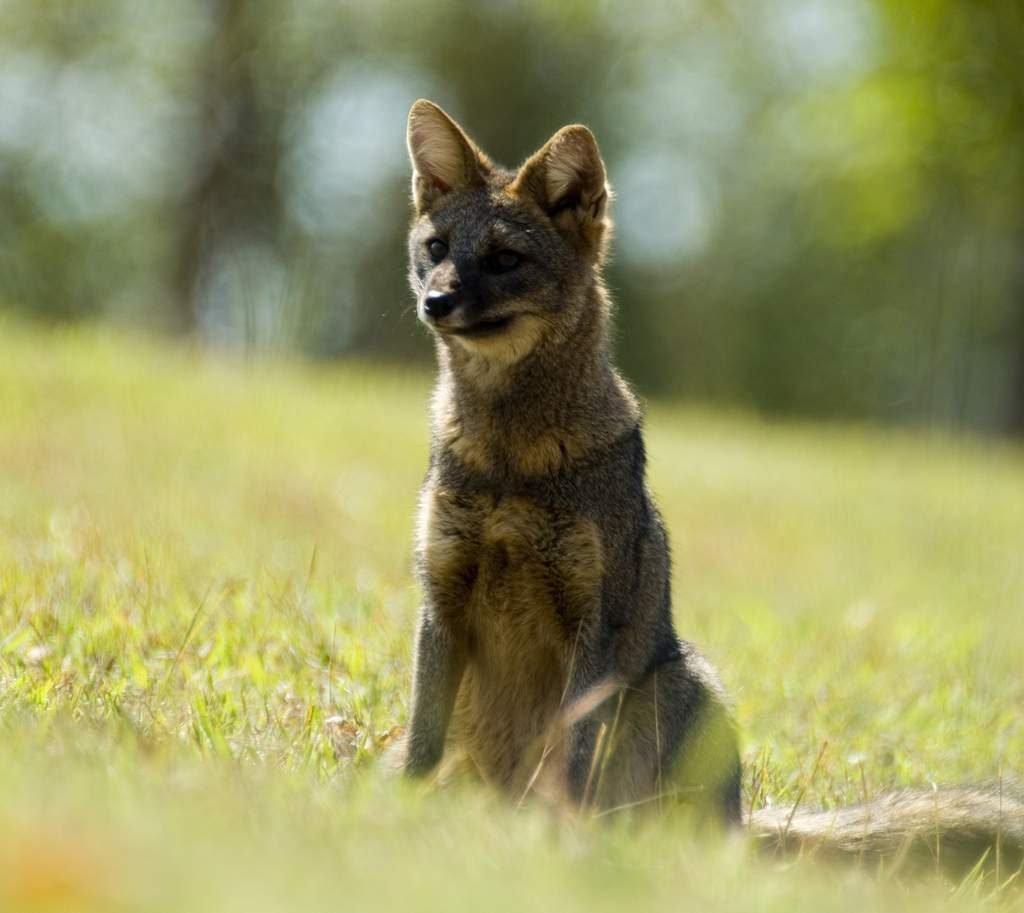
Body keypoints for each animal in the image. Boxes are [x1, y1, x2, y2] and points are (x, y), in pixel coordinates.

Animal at [399, 98, 1024, 876]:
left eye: (505, 259)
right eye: (436, 246)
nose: (435, 301)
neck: (513, 461)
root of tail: (739, 823)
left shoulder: (594, 625)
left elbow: (571, 763)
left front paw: (551, 847)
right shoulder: (441, 599)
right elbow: (419, 747)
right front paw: (389, 820)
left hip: (677, 679)